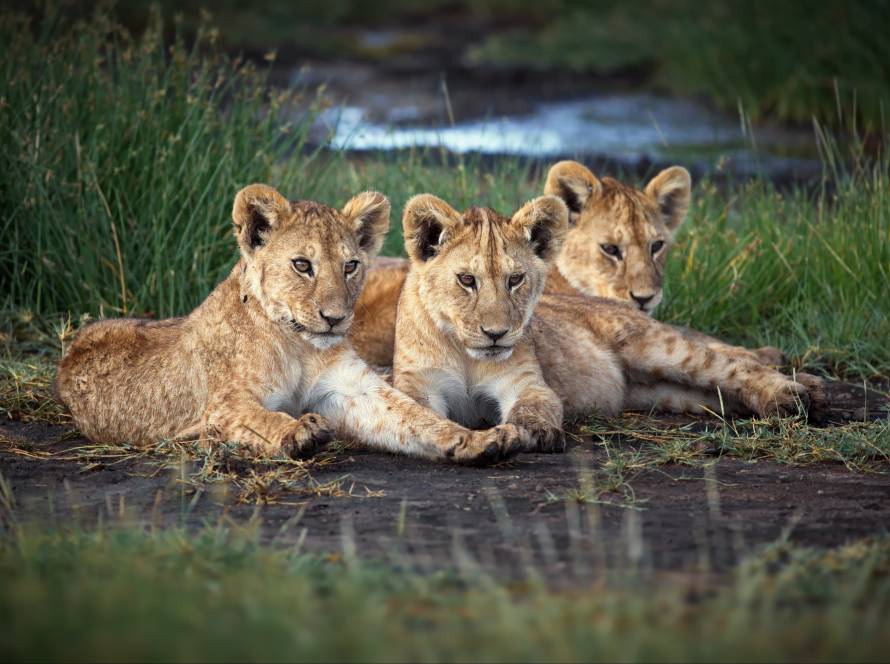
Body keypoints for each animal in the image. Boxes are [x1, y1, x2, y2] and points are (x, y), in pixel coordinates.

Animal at [54, 185, 525, 465]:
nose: (334, 318)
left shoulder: (352, 389)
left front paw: (477, 440)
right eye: (302, 265)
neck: (298, 343)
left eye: (351, 265)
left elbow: (415, 418)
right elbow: (259, 419)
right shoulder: (220, 407)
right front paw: (300, 432)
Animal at [350, 162, 785, 368]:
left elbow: (695, 334)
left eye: (657, 245)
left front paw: (764, 353)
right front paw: (763, 358)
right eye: (610, 249)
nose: (645, 297)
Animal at [391, 194, 823, 452]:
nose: (496, 334)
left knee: (731, 365)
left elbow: (533, 408)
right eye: (467, 280)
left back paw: (794, 396)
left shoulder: (527, 382)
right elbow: (418, 412)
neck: (466, 352)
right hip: (666, 391)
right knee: (720, 389)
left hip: (656, 347)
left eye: (515, 280)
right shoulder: (418, 385)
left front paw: (526, 433)